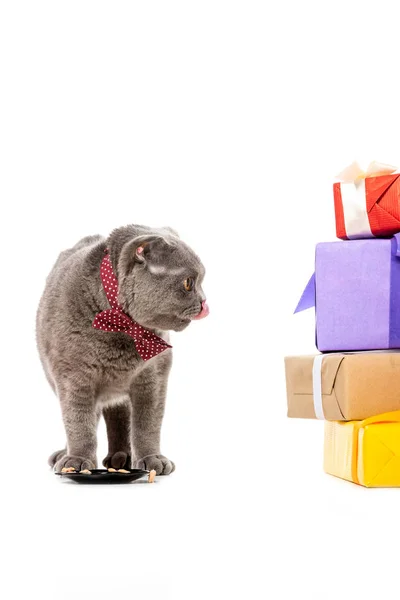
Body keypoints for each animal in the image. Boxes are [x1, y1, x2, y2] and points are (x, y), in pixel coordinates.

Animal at [36, 223, 208, 476]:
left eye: (202, 280)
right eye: (188, 282)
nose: (205, 303)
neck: (123, 330)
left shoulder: (154, 377)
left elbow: (147, 424)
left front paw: (152, 458)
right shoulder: (73, 378)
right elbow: (78, 422)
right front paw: (76, 460)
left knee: (120, 417)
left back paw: (121, 458)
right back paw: (66, 455)